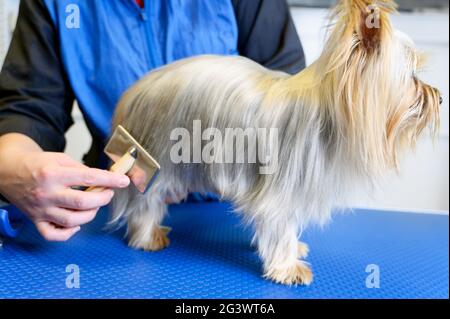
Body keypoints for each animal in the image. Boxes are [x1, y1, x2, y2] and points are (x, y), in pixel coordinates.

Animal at [109, 0, 440, 284]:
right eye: (411, 77)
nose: (439, 97)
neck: (329, 114)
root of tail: (137, 89)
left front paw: (293, 250)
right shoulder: (280, 193)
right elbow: (279, 227)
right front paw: (288, 266)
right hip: (158, 160)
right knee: (145, 202)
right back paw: (147, 237)